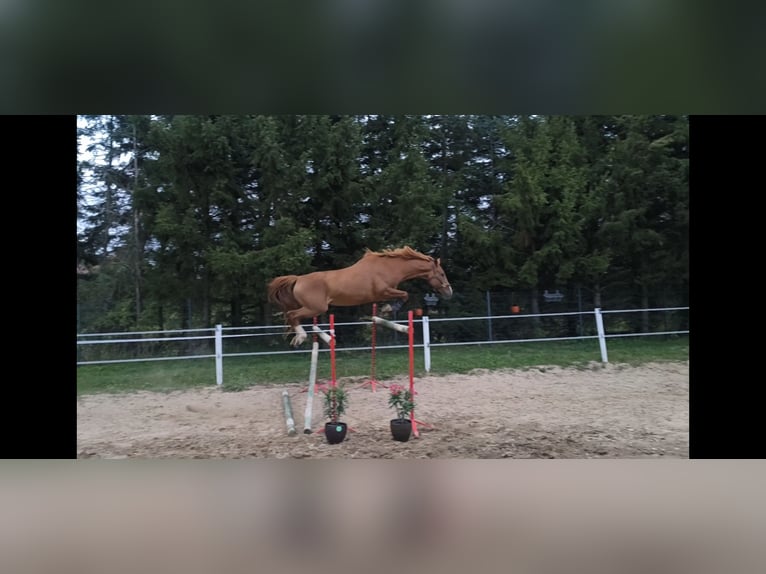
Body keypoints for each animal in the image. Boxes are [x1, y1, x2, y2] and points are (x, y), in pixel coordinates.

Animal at [267, 246, 453, 347]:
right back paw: (300, 337)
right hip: (316, 308)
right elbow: (404, 295)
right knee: (292, 315)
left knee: (291, 316)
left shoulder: (384, 294)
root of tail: (298, 279)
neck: (389, 267)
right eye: (442, 274)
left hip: (309, 307)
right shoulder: (383, 291)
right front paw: (388, 309)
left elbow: (400, 297)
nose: (449, 292)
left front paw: (386, 309)